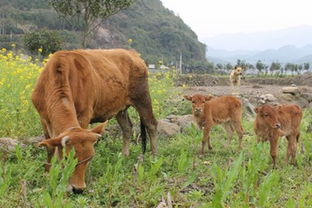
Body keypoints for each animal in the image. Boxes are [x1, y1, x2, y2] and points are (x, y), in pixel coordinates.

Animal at [32, 48, 158, 193]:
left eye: (90, 157)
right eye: (66, 157)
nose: (78, 189)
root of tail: (132, 53)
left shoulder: (84, 116)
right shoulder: (43, 118)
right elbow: (49, 147)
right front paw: (47, 174)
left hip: (142, 97)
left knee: (151, 124)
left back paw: (154, 156)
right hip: (120, 108)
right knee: (127, 128)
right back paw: (124, 156)